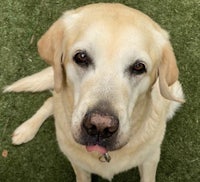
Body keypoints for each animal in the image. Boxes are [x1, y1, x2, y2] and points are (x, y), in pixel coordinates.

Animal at [4, 3, 184, 182]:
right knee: (50, 102)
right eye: (82, 57)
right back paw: (26, 129)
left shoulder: (150, 158)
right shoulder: (78, 164)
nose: (100, 127)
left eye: (139, 67)